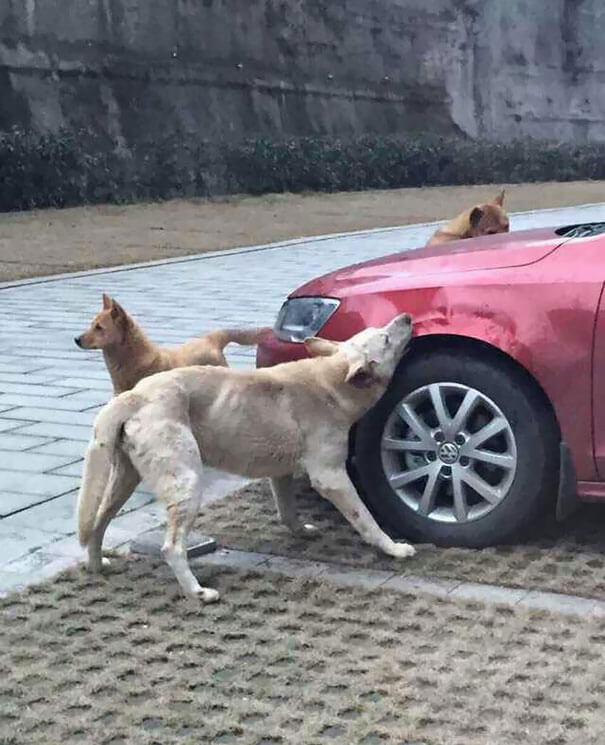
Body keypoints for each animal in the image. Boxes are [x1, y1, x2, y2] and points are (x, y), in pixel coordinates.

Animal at [75, 310, 416, 600]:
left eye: (382, 330)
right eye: (386, 338)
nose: (407, 317)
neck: (331, 379)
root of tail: (134, 395)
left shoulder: (281, 472)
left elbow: (287, 510)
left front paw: (300, 530)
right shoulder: (331, 476)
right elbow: (366, 519)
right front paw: (393, 548)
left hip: (123, 480)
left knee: (97, 523)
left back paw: (96, 565)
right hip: (187, 482)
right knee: (171, 548)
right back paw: (196, 591)